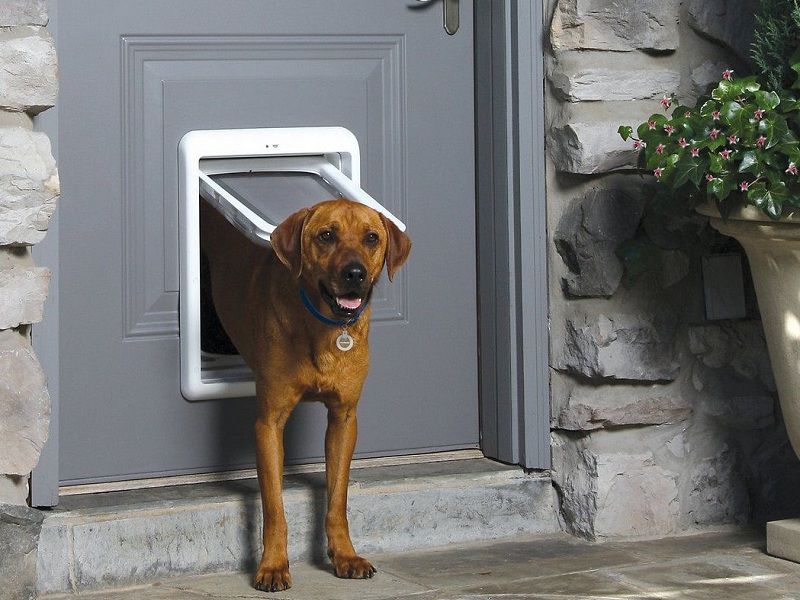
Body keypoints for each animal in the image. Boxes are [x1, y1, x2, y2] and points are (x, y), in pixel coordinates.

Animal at [200, 198, 412, 592]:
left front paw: (344, 555)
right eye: (326, 235)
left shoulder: (344, 419)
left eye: (371, 238)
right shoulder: (268, 424)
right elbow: (274, 506)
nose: (355, 273)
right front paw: (272, 565)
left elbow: (337, 499)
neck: (325, 327)